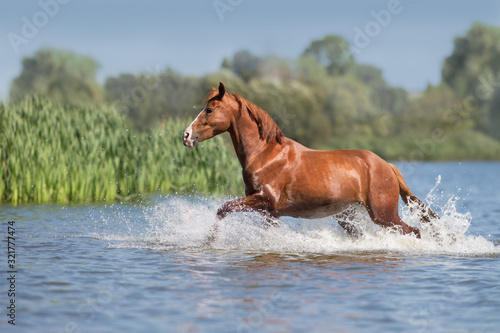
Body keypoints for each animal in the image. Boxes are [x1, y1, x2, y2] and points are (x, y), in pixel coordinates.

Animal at [183, 82, 438, 239]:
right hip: (348, 216)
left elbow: (222, 209)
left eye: (210, 109)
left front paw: (209, 241)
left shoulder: (264, 200)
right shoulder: (269, 212)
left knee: (414, 231)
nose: (186, 135)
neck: (265, 154)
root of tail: (387, 165)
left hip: (383, 215)